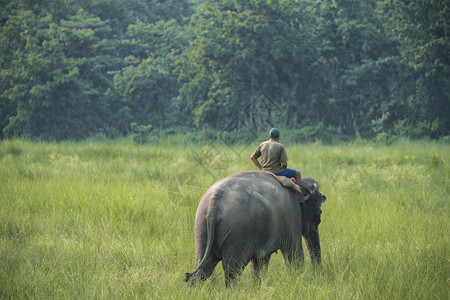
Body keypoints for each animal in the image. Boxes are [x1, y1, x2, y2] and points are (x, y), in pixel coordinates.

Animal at [185, 171, 326, 286]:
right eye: (319, 213)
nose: (317, 273)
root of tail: (214, 203)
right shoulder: (292, 216)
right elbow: (294, 254)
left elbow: (261, 260)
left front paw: (258, 286)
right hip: (238, 231)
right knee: (232, 271)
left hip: (201, 227)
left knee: (204, 268)